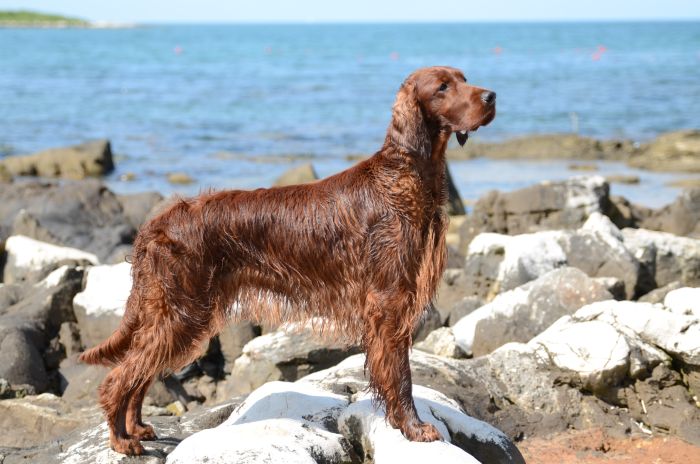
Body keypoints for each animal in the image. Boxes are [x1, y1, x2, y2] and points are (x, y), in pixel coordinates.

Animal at [79, 66, 494, 456]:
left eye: (464, 79)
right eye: (442, 87)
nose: (491, 96)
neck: (402, 177)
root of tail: (156, 223)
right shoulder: (389, 302)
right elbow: (401, 375)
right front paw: (413, 428)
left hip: (171, 312)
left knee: (140, 371)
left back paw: (135, 428)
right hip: (181, 311)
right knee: (119, 376)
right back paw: (121, 440)